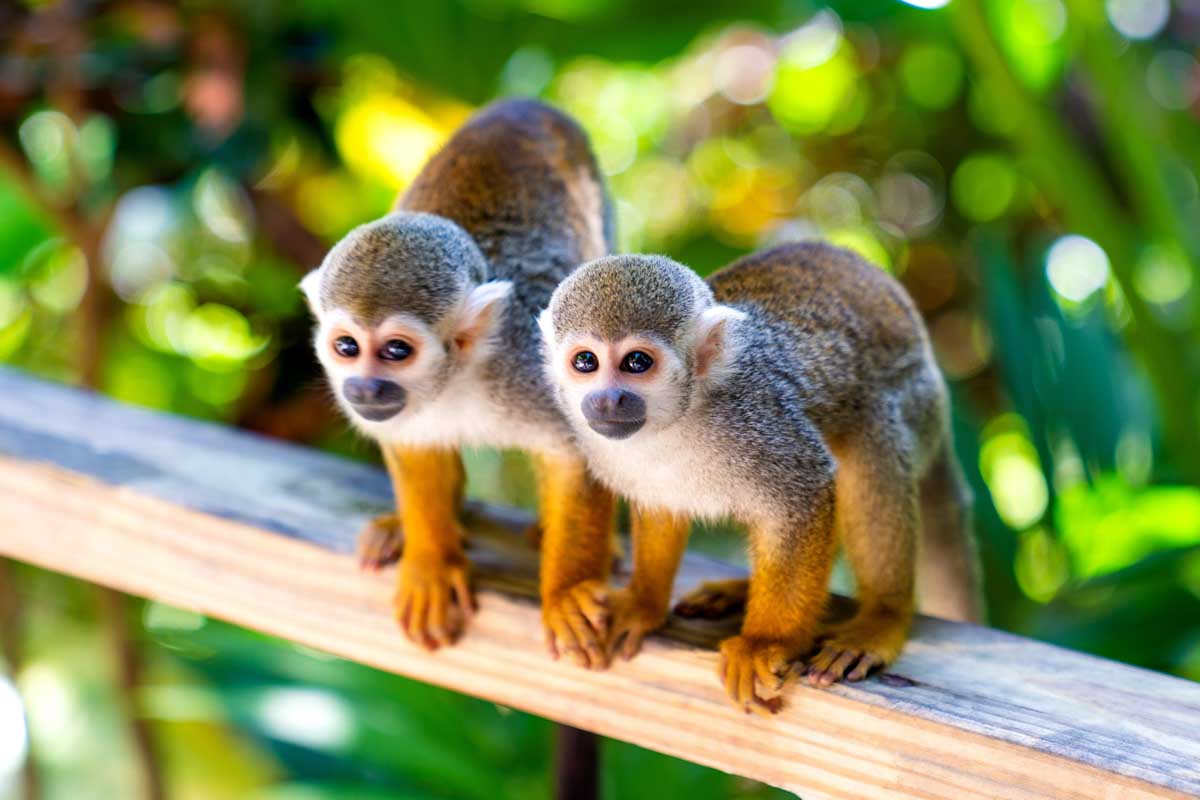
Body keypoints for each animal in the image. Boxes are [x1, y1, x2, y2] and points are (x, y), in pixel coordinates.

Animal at [302, 98, 618, 662]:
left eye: (397, 350)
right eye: (347, 347)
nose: (362, 389)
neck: (456, 380)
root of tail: (523, 103)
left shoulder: (536, 367)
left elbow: (579, 455)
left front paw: (566, 592)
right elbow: (414, 448)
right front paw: (431, 562)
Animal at [538, 242, 981, 713]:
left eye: (636, 362)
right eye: (585, 361)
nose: (606, 400)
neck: (680, 417)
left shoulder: (757, 420)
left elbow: (804, 493)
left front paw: (767, 643)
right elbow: (662, 506)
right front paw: (643, 603)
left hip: (915, 400)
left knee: (871, 446)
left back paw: (882, 618)